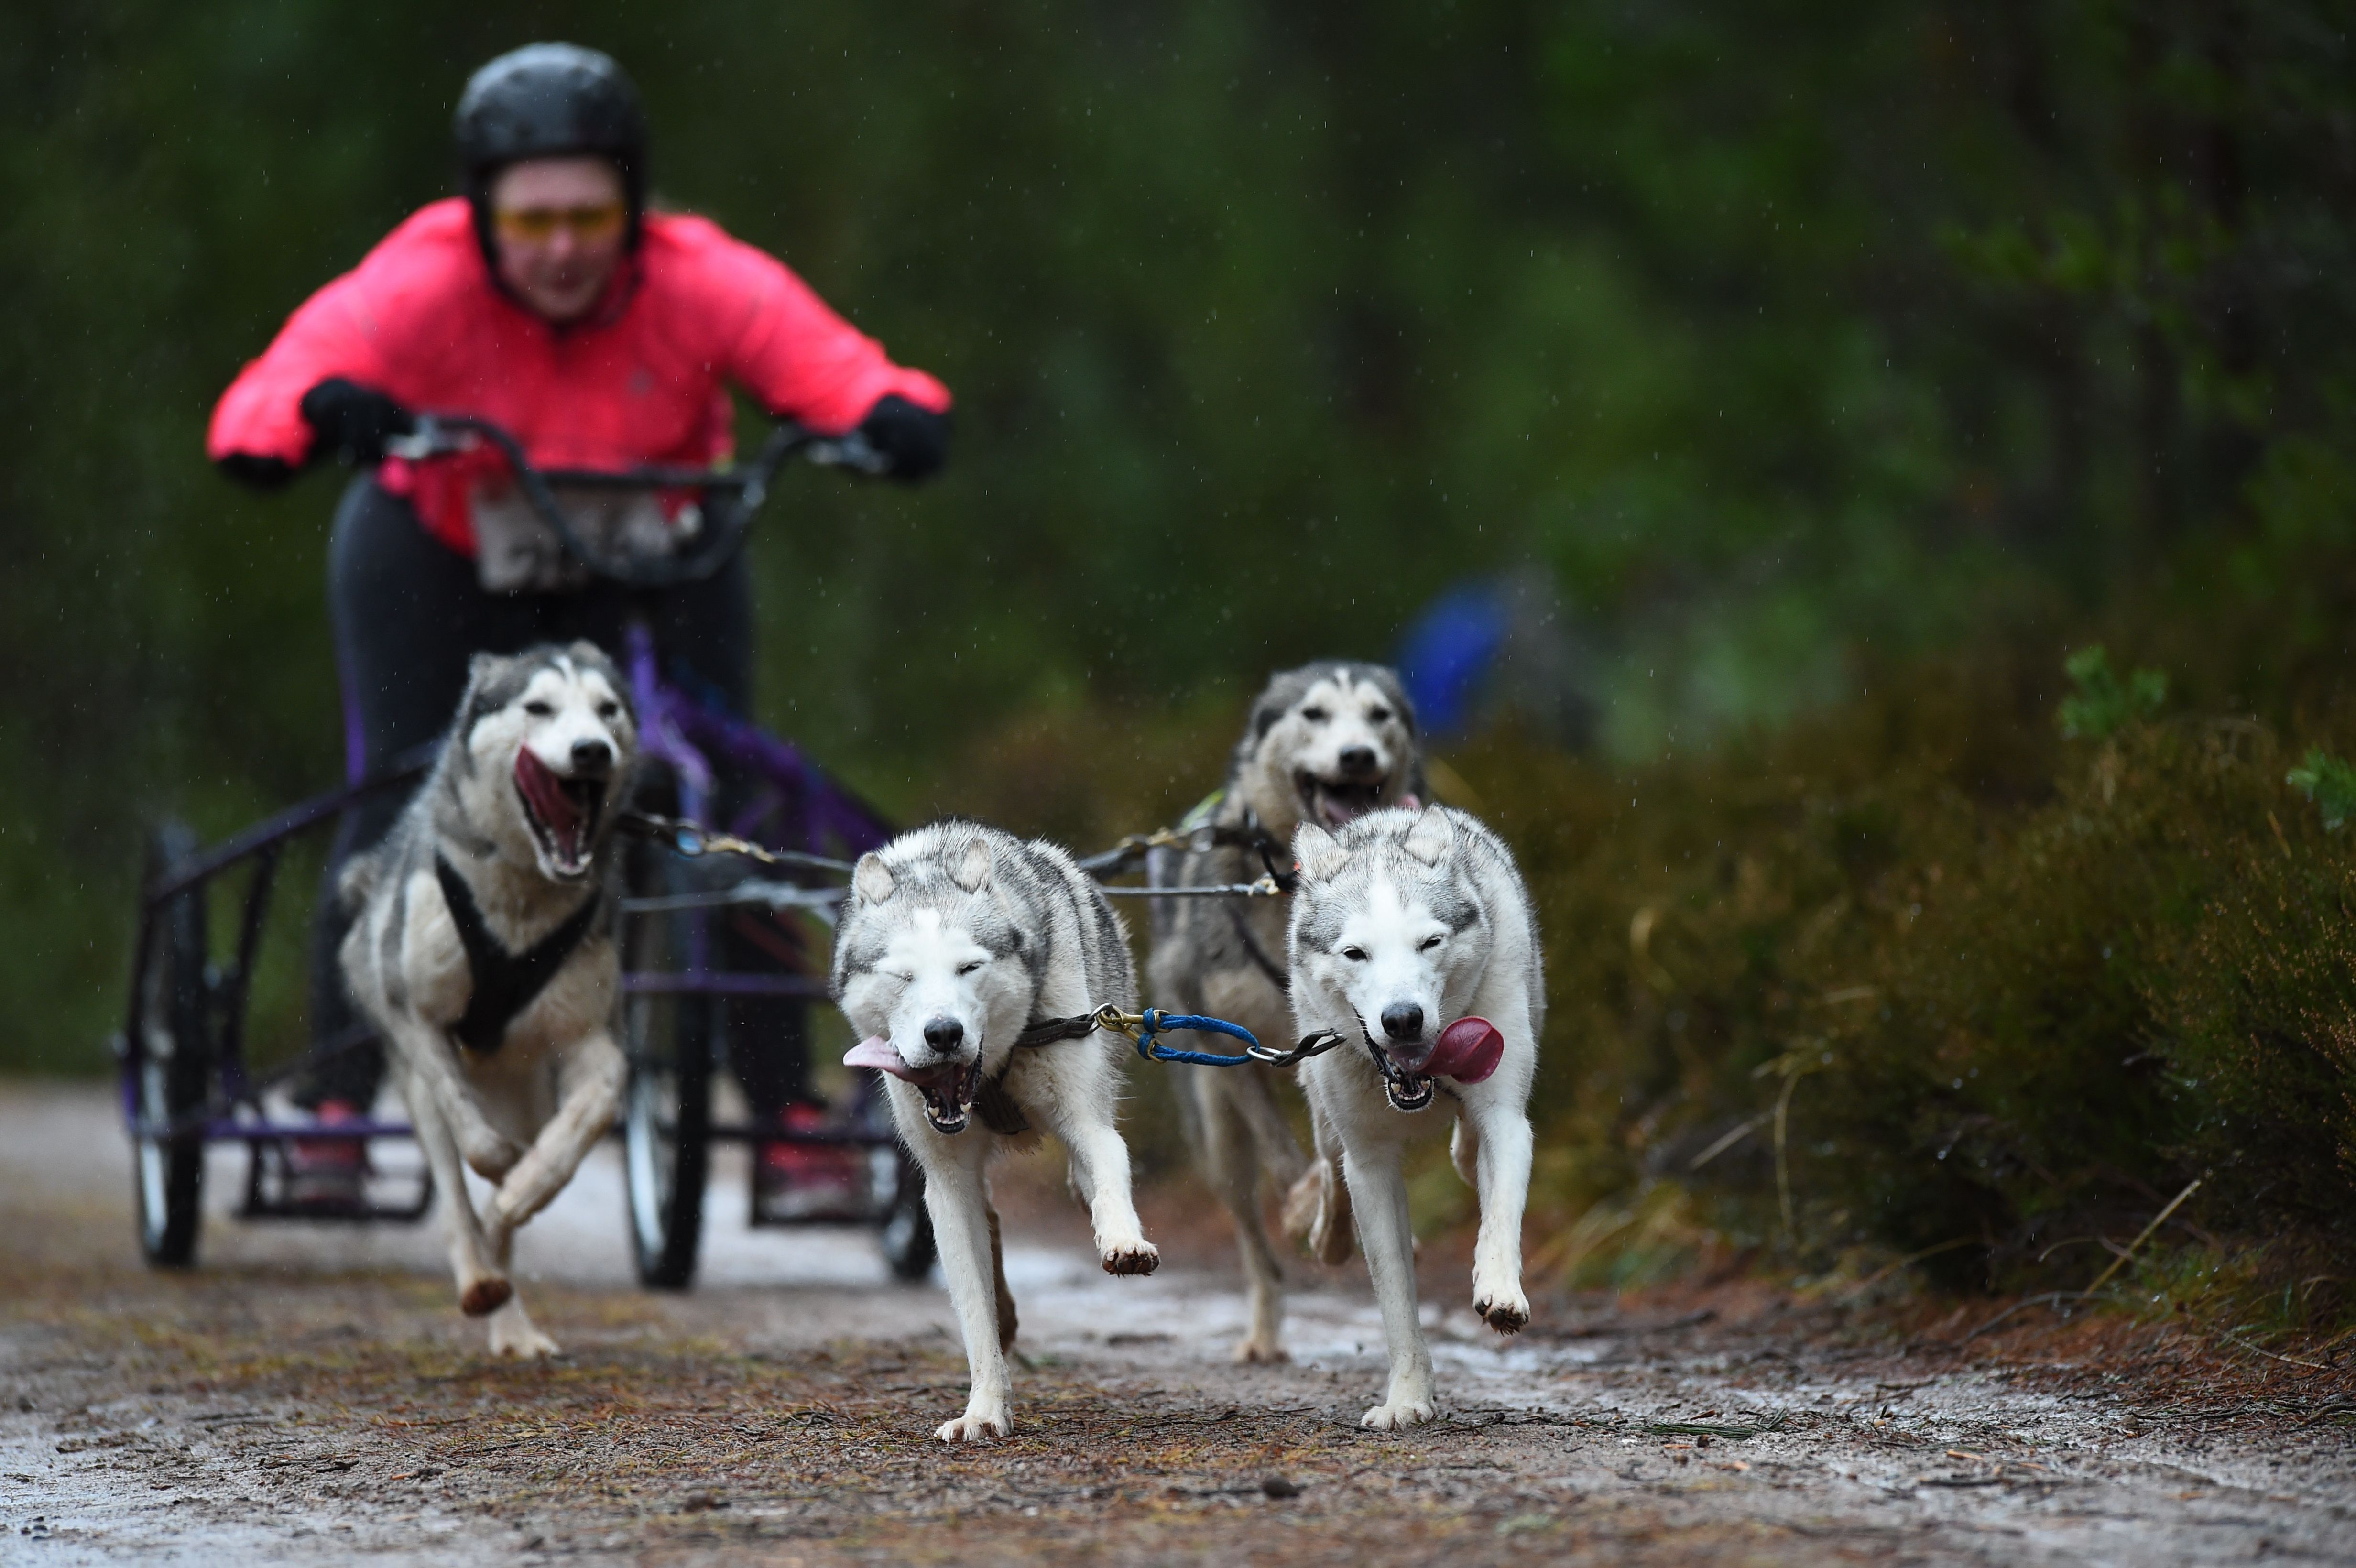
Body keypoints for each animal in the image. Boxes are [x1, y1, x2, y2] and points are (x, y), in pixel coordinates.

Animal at [337, 640, 636, 1347]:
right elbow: (473, 1140)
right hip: (416, 1080)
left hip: (526, 1087)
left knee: (503, 1224)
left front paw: (527, 1185)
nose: (592, 751)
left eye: (608, 709)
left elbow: (586, 1116)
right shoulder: (416, 1016)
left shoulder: (590, 1036)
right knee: (452, 1190)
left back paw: (513, 1320)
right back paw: (479, 1279)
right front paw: (502, 1167)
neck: (521, 906)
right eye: (538, 707)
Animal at [834, 819, 1164, 1441]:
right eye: (902, 975)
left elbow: (1110, 1173)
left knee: (1082, 1184)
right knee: (989, 1226)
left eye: (969, 967)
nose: (943, 1033)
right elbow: (973, 1309)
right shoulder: (945, 1183)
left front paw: (1123, 1241)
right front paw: (984, 1411)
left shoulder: (1087, 1122)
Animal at [1140, 659, 1413, 1356]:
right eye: (1312, 714)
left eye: (1380, 715)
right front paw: (1301, 1207)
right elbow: (1284, 1152)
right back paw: (1263, 1330)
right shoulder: (1225, 1041)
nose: (1356, 754)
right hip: (1217, 1139)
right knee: (1254, 1246)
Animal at [1291, 805, 1545, 1431]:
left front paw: (1499, 1290)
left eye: (1430, 942)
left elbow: (1500, 1213)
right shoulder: (1369, 1162)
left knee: (1469, 1149)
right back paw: (1329, 1235)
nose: (1402, 1018)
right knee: (1328, 1167)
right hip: (1322, 1108)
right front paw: (1407, 1397)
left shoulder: (1506, 1116)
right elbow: (1395, 1297)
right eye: (1355, 953)